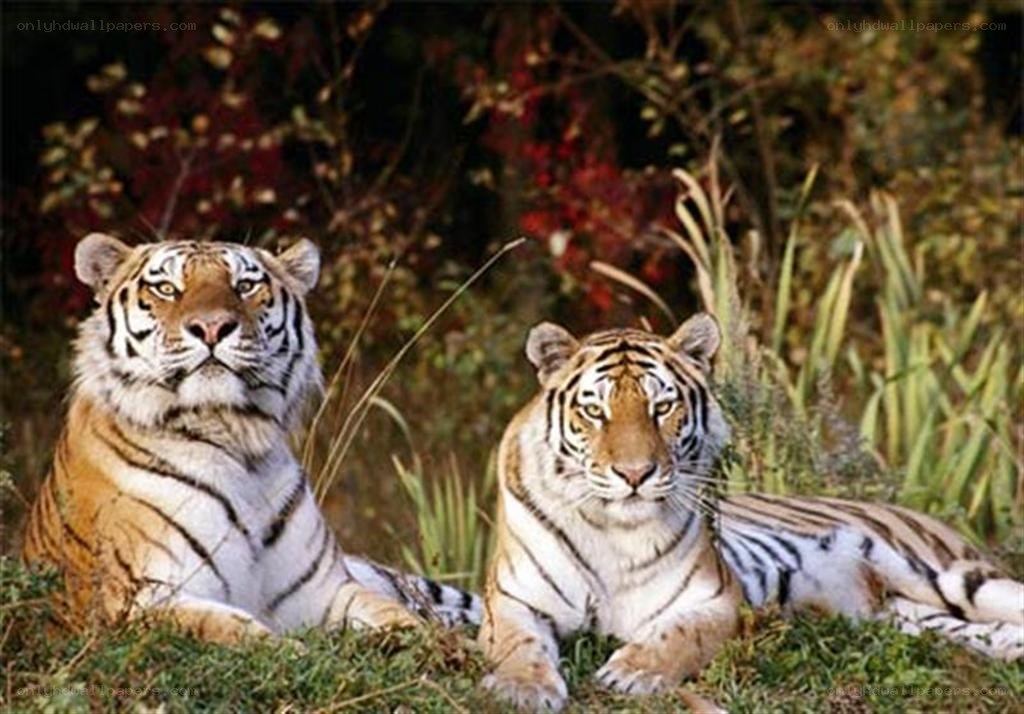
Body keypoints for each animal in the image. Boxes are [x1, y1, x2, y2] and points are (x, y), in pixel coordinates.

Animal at [22, 233, 480, 643]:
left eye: (244, 286)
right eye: (167, 288)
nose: (212, 327)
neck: (236, 438)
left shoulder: (326, 590)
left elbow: (401, 619)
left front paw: (453, 653)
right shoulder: (140, 601)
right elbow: (245, 635)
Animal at [479, 312, 1023, 711]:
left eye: (662, 408)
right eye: (595, 411)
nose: (635, 475)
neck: (614, 529)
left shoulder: (715, 600)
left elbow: (677, 636)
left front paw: (633, 671)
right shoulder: (512, 599)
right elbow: (516, 643)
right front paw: (522, 687)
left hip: (948, 576)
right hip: (910, 615)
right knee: (985, 631)